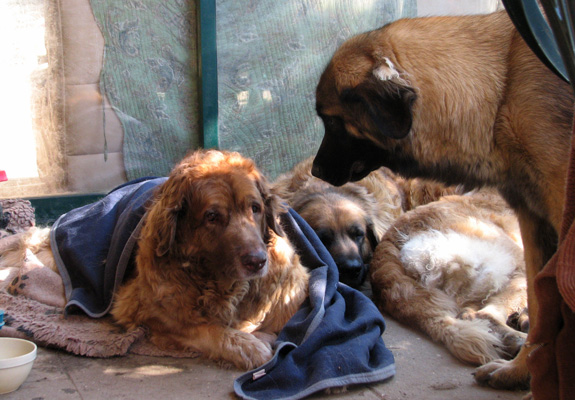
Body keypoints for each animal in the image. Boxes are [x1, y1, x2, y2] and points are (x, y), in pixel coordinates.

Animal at [1, 151, 310, 372]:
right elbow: (202, 327)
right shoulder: (141, 308)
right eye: (212, 217)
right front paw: (247, 346)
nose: (257, 261)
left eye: (254, 208)